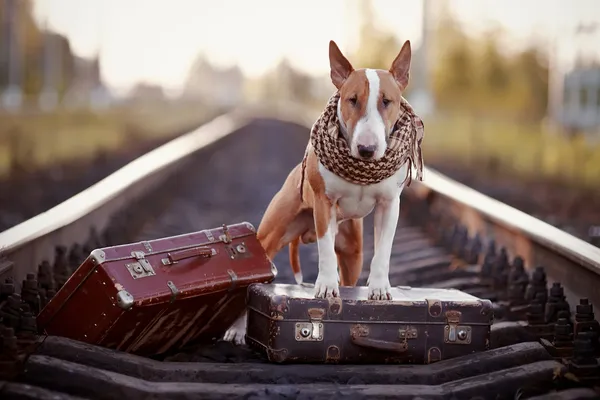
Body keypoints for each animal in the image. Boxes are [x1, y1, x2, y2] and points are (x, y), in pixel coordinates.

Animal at [223, 39, 414, 344]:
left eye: (386, 101)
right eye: (352, 99)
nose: (367, 149)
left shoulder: (389, 205)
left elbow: (383, 248)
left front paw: (380, 288)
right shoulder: (324, 204)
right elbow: (324, 248)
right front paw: (324, 286)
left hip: (352, 253)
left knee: (349, 273)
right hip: (270, 236)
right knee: (253, 281)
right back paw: (238, 329)